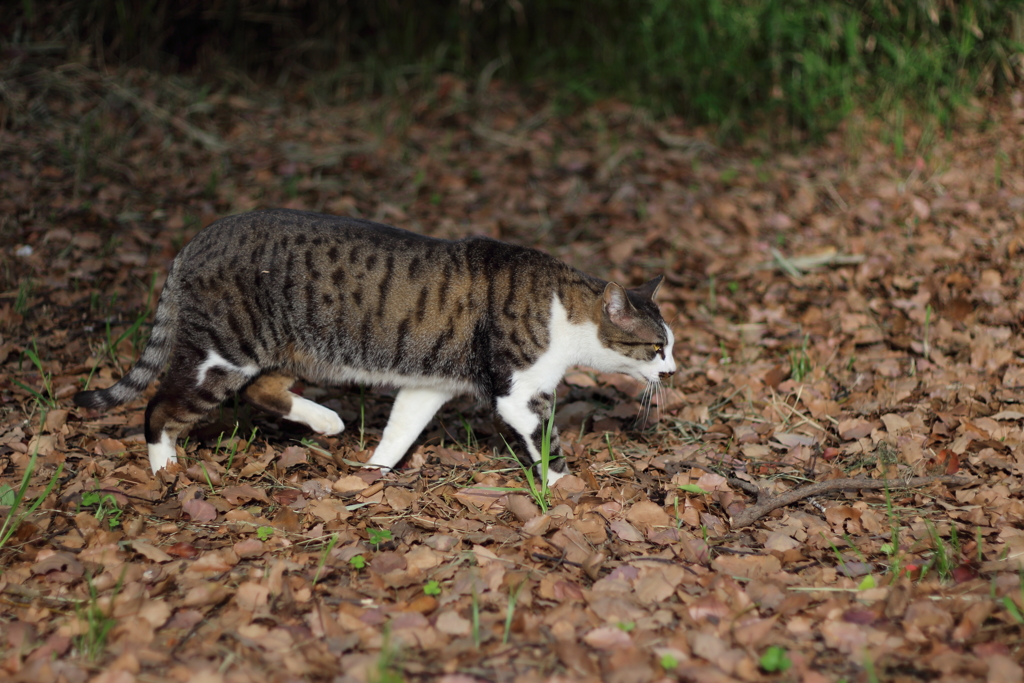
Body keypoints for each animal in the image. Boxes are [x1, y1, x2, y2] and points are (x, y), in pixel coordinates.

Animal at [74, 208, 679, 481]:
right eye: (656, 348)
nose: (673, 372)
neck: (566, 312)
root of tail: (200, 237)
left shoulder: (429, 385)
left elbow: (400, 431)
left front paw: (374, 475)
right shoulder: (517, 392)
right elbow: (543, 439)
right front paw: (562, 486)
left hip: (289, 348)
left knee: (262, 390)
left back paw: (326, 423)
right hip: (223, 352)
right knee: (159, 406)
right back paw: (164, 469)